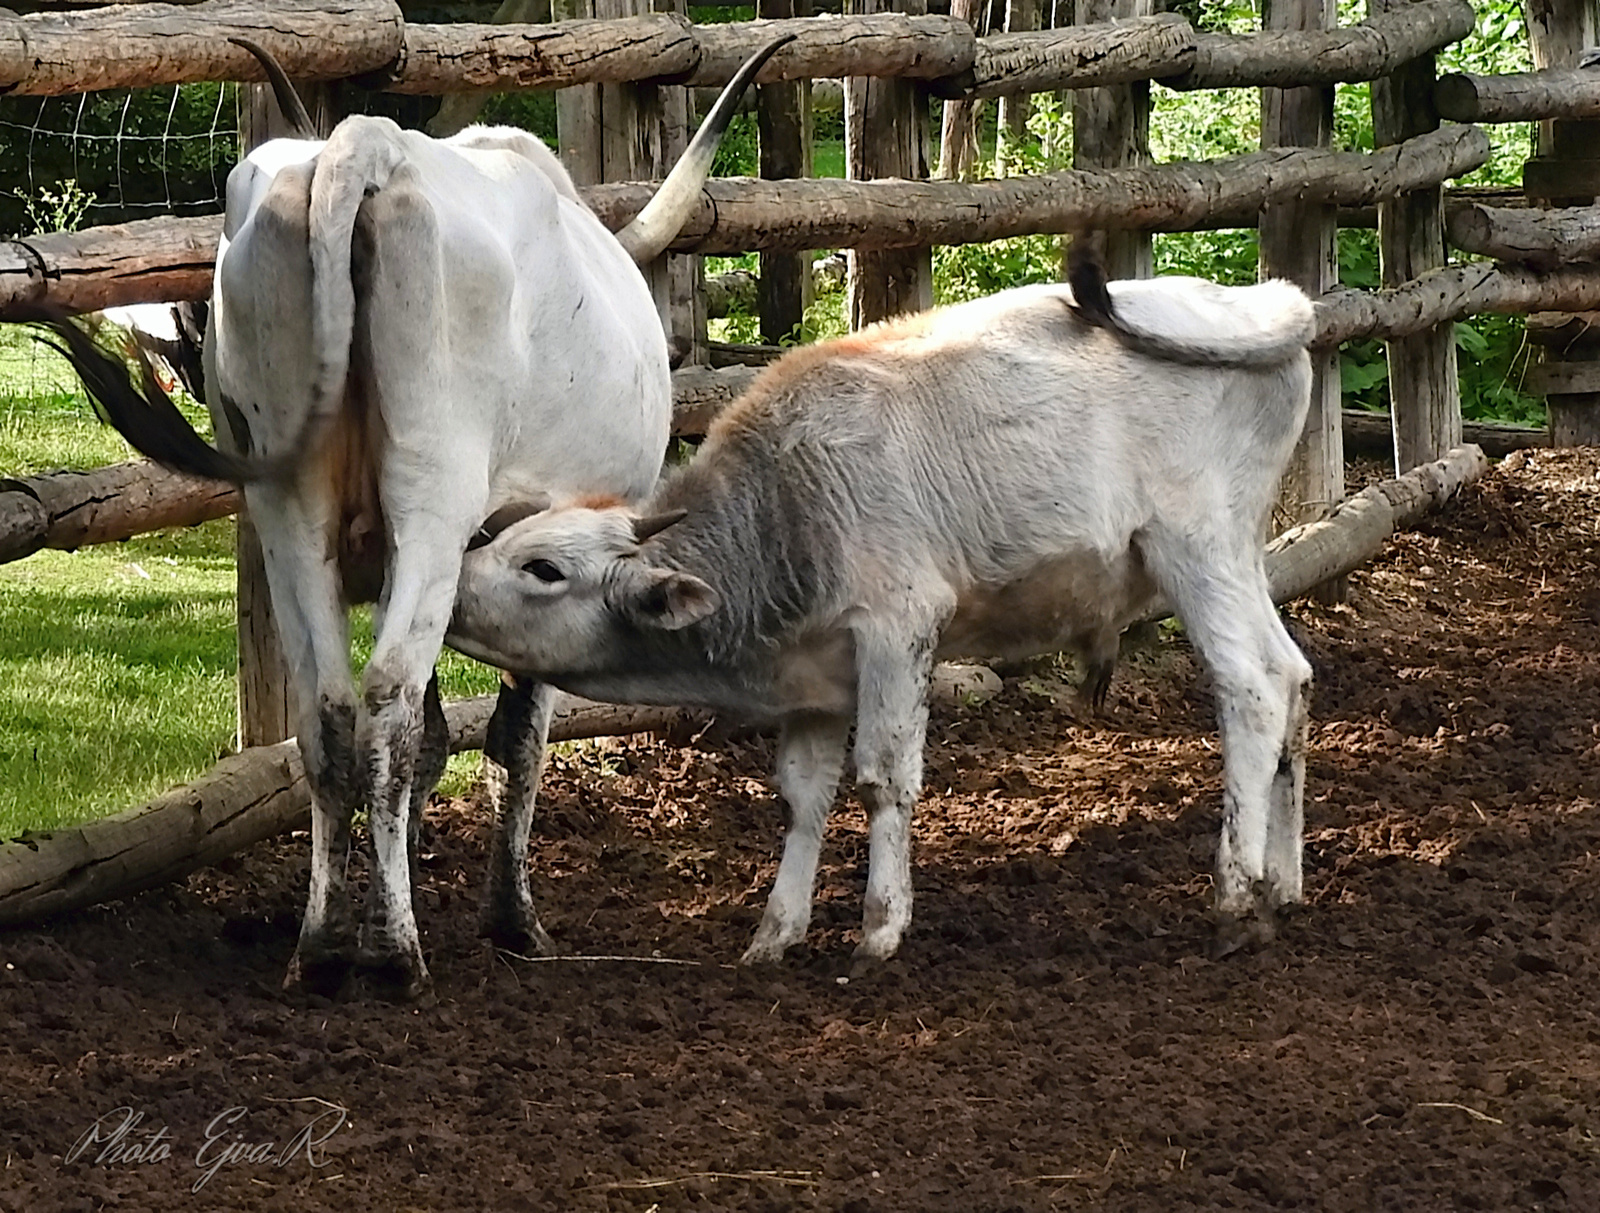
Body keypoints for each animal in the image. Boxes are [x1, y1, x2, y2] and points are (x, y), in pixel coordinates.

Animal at [46, 38, 796, 998]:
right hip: (432, 504)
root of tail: (368, 147)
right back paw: (396, 952)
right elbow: (511, 738)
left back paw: (324, 944)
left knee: (330, 711)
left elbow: (437, 740)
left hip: (289, 507)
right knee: (390, 704)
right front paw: (509, 918)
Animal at [448, 256, 1312, 966]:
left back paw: (1237, 896)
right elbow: (802, 797)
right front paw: (775, 933)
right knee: (1294, 678)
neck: (786, 508)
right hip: (1238, 556)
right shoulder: (816, 681)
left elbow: (883, 777)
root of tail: (1263, 301)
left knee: (1251, 689)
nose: (448, 591)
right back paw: (1285, 883)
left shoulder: (899, 630)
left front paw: (879, 928)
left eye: (544, 567)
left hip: (1193, 549)